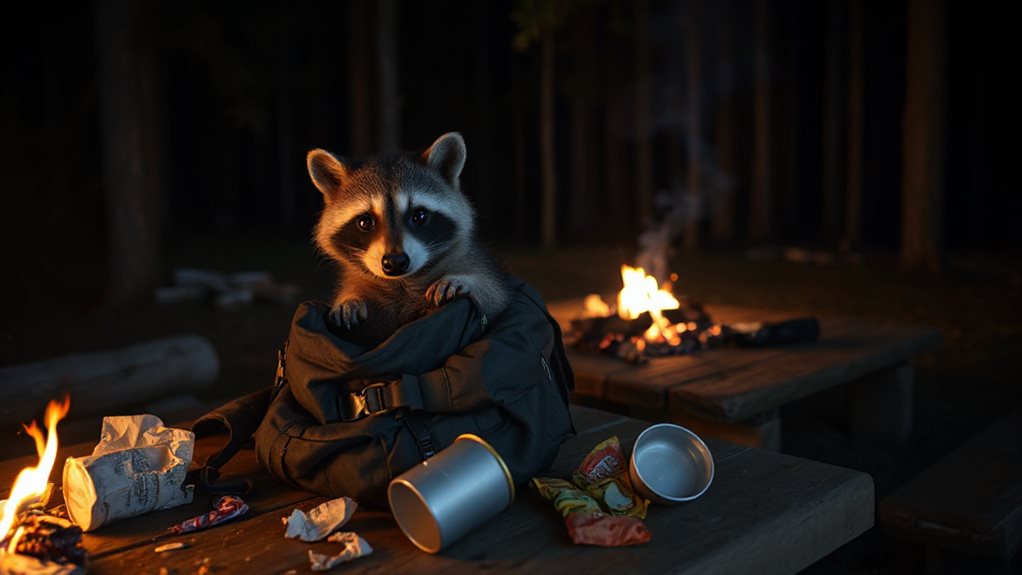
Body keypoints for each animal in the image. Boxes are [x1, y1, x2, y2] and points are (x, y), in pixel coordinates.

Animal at [307, 132, 512, 347]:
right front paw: (348, 298)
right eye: (365, 222)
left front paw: (468, 282)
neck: (402, 283)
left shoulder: (479, 264)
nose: (395, 262)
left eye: (419, 216)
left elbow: (496, 295)